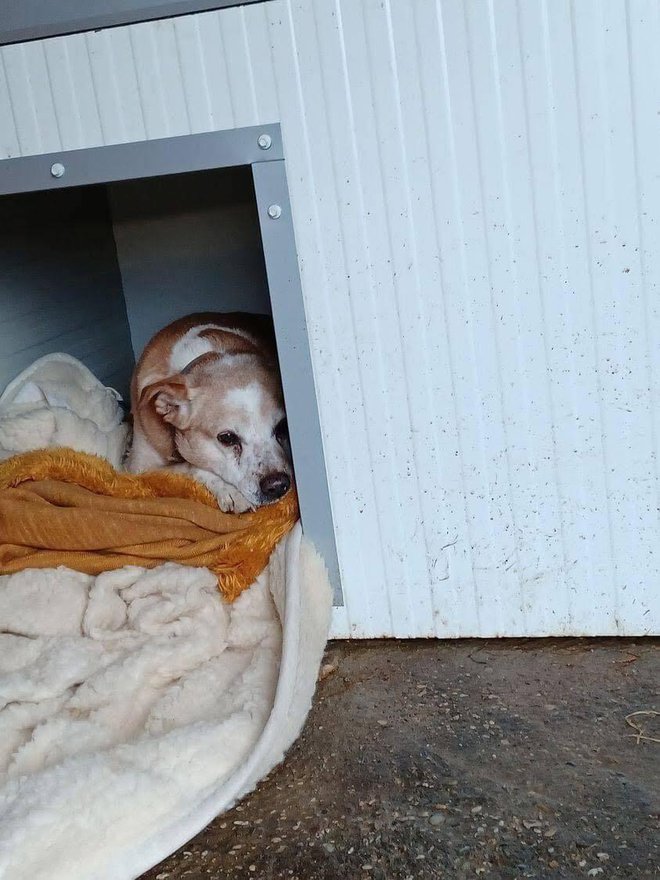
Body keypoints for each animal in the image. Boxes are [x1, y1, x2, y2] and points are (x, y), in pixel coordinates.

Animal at [127, 312, 292, 512]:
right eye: (227, 438)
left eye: (283, 426)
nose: (278, 485)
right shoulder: (138, 468)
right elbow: (189, 466)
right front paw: (229, 490)